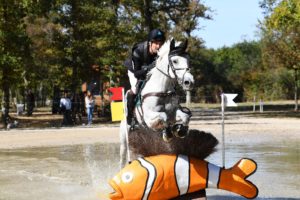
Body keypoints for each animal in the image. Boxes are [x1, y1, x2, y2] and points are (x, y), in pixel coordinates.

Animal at [119, 38, 195, 168]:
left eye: (188, 60)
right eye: (175, 61)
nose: (189, 82)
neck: (162, 90)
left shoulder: (174, 112)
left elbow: (185, 117)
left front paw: (179, 130)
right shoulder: (150, 119)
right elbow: (163, 117)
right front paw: (168, 133)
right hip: (125, 139)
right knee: (122, 159)